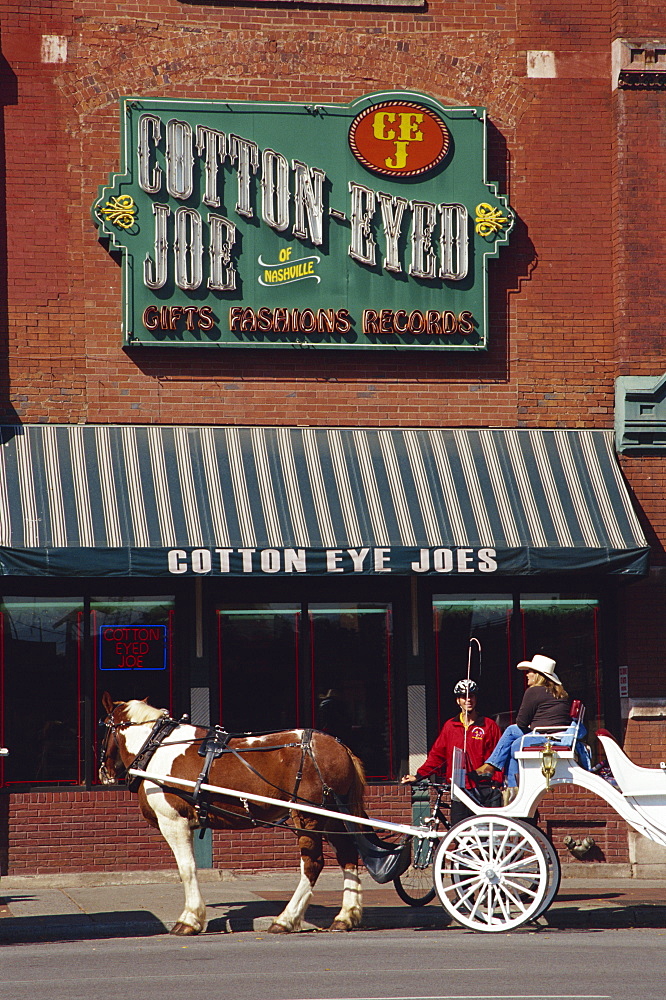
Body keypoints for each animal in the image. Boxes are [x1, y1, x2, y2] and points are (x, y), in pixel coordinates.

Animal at [100, 696, 364, 936]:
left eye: (104, 726)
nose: (104, 772)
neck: (156, 747)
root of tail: (340, 747)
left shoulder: (173, 822)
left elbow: (187, 869)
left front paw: (190, 919)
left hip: (308, 817)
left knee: (312, 864)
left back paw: (286, 919)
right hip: (332, 819)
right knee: (348, 856)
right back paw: (345, 917)